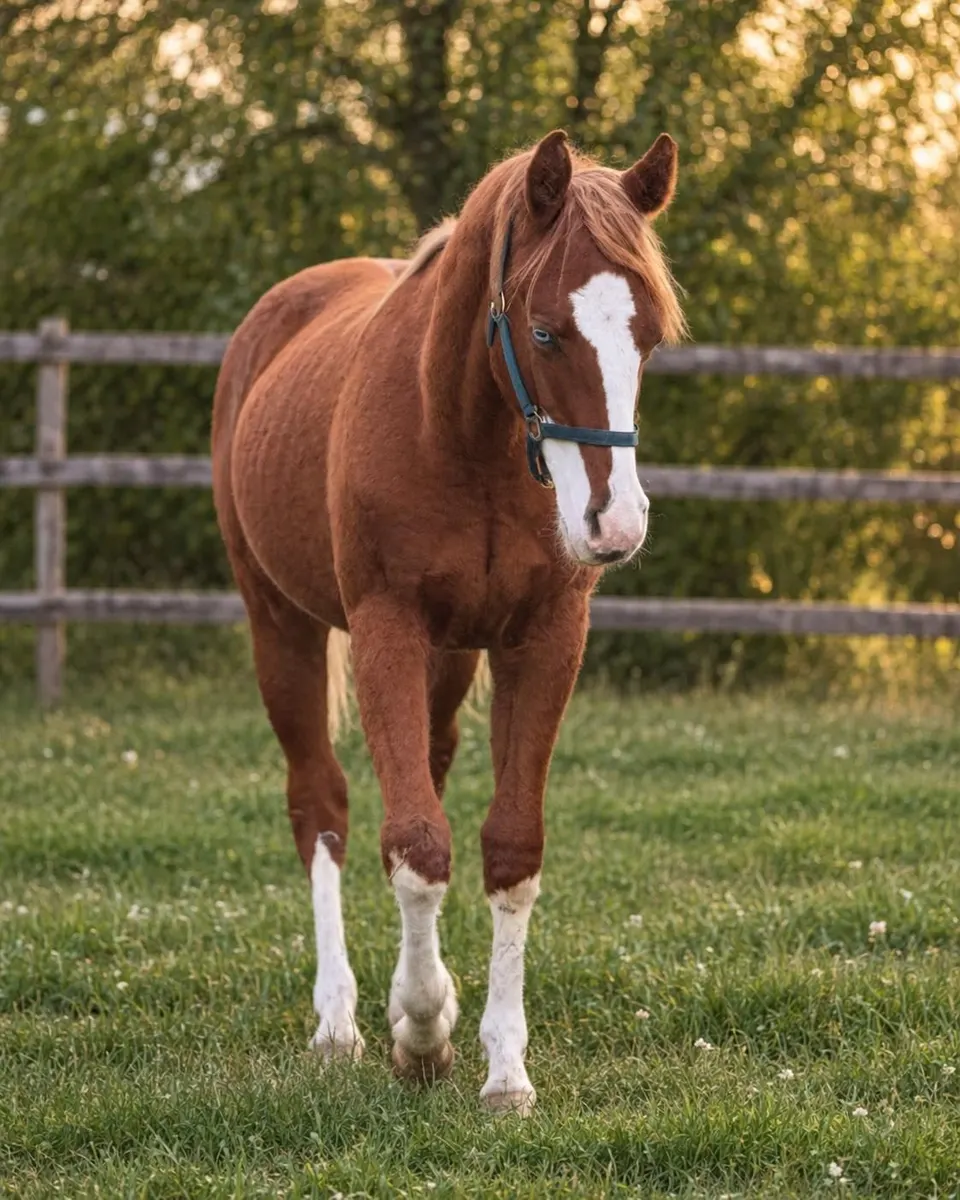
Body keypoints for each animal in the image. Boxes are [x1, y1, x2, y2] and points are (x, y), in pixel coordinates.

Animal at [211, 129, 685, 1115]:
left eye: (649, 337)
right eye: (544, 331)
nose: (615, 525)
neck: (466, 438)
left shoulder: (542, 641)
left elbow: (507, 848)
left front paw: (504, 1067)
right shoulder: (385, 628)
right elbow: (418, 843)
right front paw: (422, 1032)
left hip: (448, 660)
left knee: (415, 777)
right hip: (281, 626)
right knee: (322, 805)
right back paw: (340, 1021)